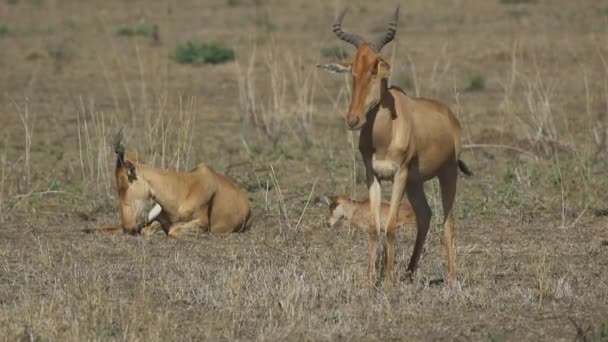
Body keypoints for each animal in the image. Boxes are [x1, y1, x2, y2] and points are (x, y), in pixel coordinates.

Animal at [320, 7, 472, 286]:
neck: (386, 133)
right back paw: (409, 273)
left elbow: (390, 226)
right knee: (425, 215)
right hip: (415, 182)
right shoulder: (373, 175)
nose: (353, 119)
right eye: (353, 70)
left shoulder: (399, 174)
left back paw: (451, 279)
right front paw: (370, 281)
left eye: (375, 69)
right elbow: (374, 226)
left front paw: (388, 282)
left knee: (448, 223)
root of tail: (449, 116)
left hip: (447, 174)